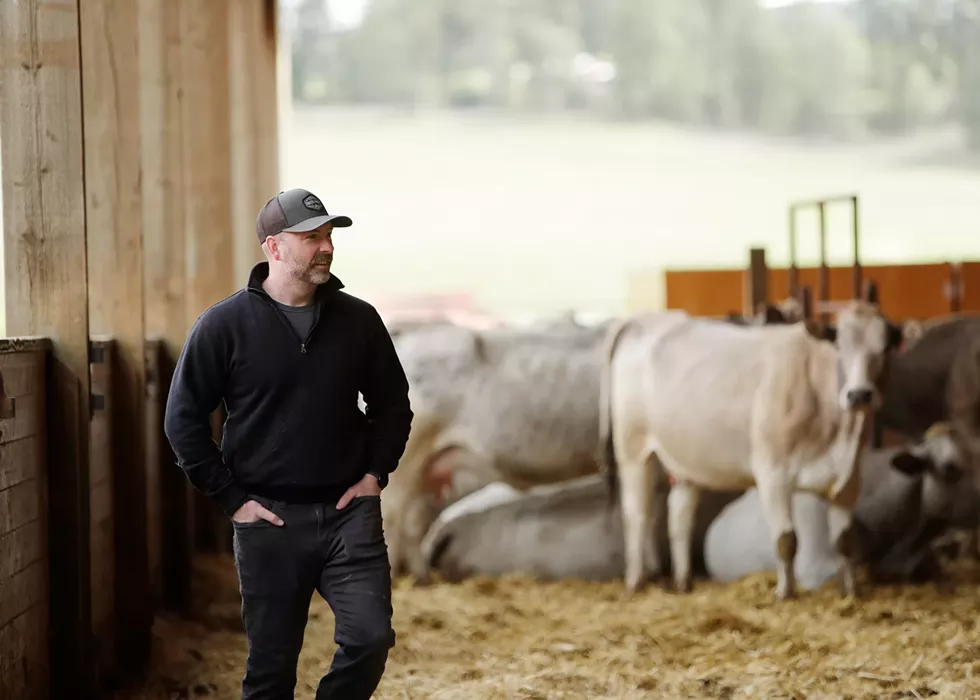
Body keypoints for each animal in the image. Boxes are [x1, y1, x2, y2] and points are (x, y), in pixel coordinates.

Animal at [596, 296, 912, 600]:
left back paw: (683, 581)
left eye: (886, 348)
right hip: (633, 448)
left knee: (679, 517)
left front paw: (850, 592)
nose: (859, 395)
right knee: (637, 513)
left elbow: (845, 541)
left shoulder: (848, 481)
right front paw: (785, 592)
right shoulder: (773, 473)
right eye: (839, 345)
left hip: (687, 457)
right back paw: (635, 581)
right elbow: (786, 539)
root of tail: (648, 319)